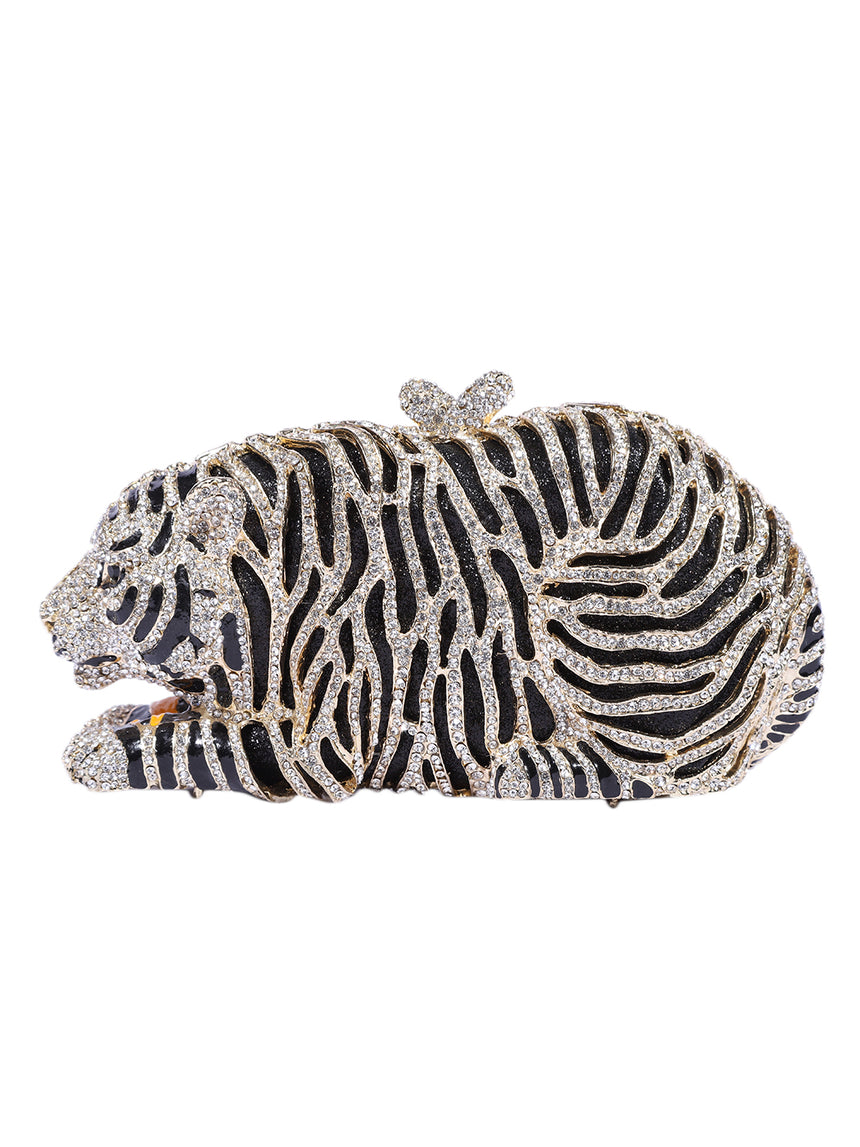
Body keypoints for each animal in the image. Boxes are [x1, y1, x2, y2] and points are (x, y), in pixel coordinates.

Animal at [40, 373, 823, 803]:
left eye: (112, 572)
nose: (44, 617)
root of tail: (800, 588)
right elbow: (166, 716)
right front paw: (115, 725)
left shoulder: (321, 746)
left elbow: (191, 745)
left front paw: (101, 750)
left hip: (599, 613)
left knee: (635, 765)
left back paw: (513, 766)